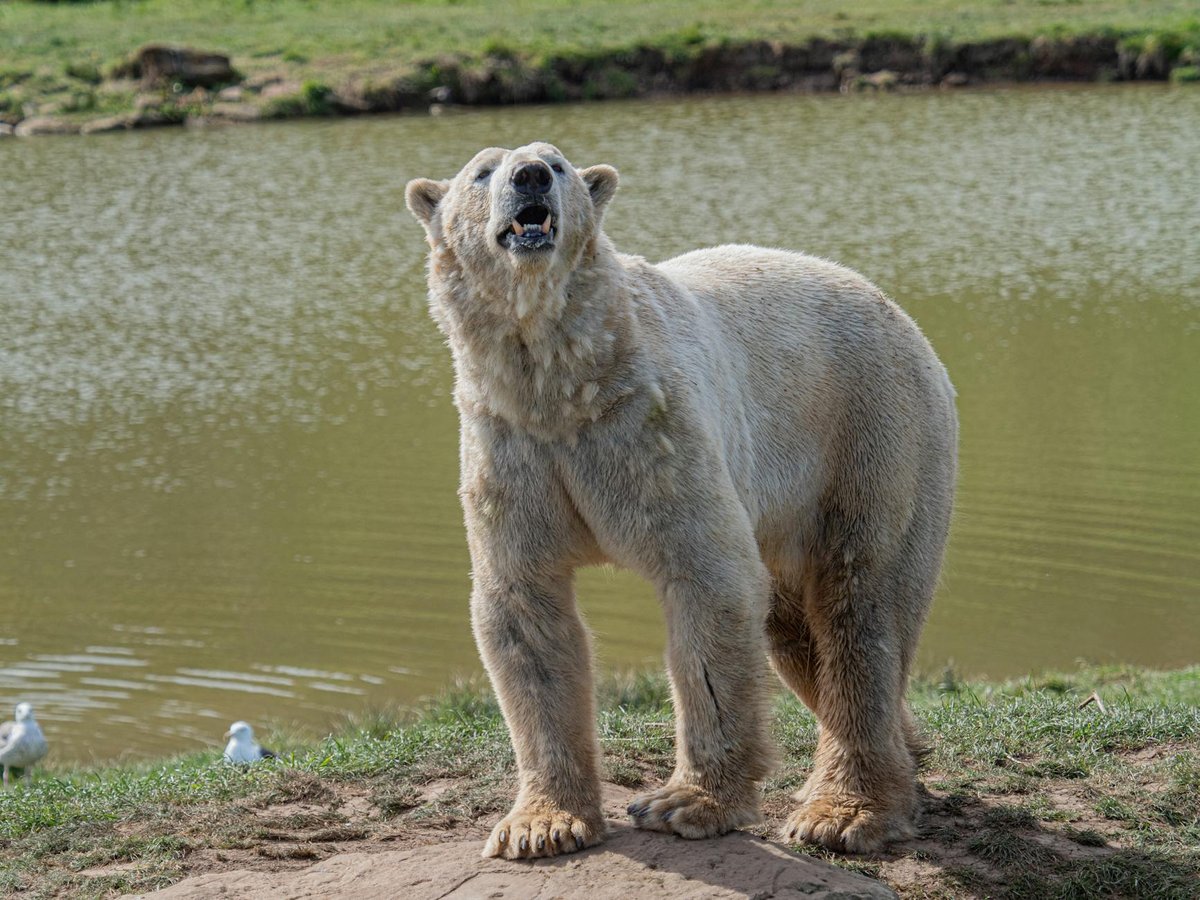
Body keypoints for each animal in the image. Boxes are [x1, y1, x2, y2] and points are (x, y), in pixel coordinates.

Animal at [405, 142, 957, 860]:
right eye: (482, 172)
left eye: (557, 163)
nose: (530, 177)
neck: (564, 386)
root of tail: (900, 313)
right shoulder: (511, 446)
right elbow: (524, 609)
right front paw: (540, 825)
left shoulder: (652, 429)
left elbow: (707, 580)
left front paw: (685, 803)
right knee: (795, 630)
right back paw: (904, 750)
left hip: (873, 433)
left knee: (859, 602)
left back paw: (843, 810)